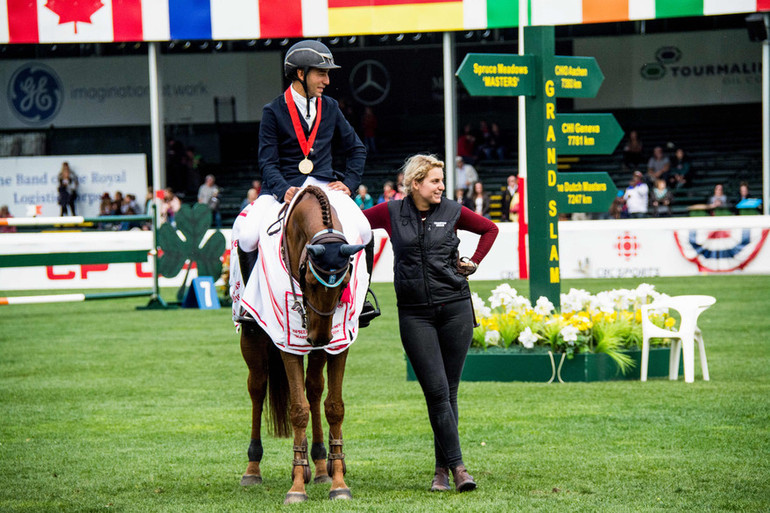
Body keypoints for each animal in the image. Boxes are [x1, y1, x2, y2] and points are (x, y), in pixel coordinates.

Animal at [237, 185, 364, 504]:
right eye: (309, 279)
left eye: (345, 282)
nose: (318, 338)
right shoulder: (288, 345)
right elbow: (298, 410)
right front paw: (296, 486)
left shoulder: (341, 343)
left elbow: (334, 407)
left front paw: (338, 481)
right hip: (252, 340)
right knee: (257, 388)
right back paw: (253, 468)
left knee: (314, 389)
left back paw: (319, 465)